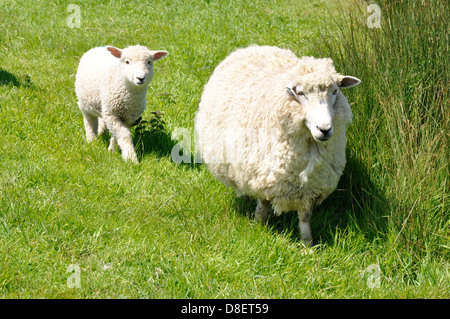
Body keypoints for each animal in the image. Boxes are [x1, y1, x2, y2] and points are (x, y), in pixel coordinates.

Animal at [195, 45, 360, 246]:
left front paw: (307, 244)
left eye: (335, 91)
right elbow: (263, 206)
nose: (324, 129)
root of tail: (255, 47)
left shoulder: (310, 187)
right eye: (301, 93)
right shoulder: (261, 175)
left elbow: (305, 217)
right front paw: (259, 228)